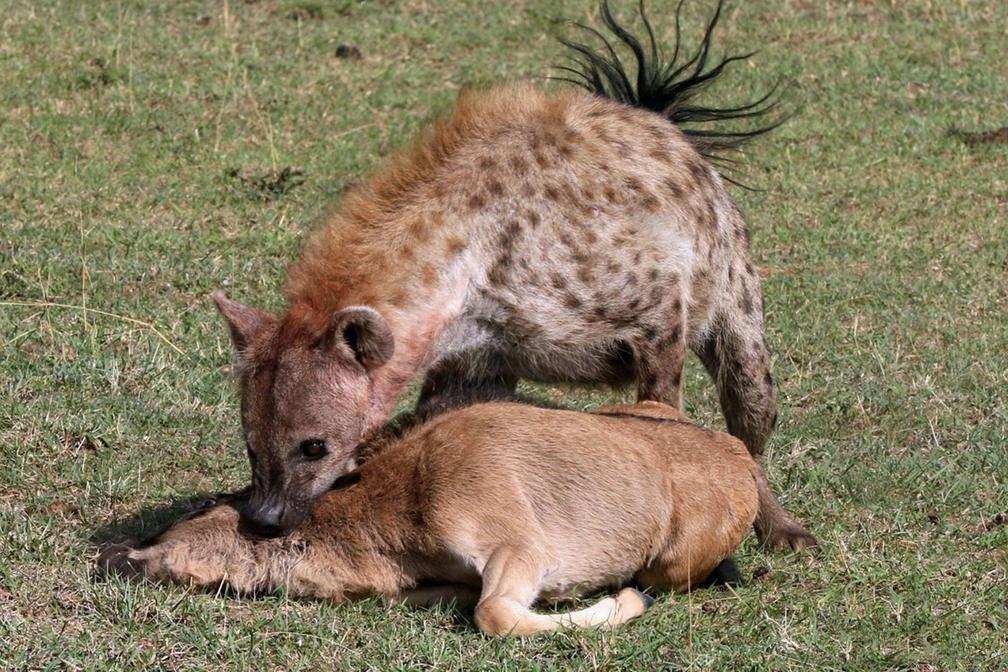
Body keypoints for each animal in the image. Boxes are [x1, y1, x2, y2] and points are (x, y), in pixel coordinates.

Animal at [100, 402, 758, 640]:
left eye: (189, 514)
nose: (117, 558)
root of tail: (740, 457)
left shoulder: (520, 546)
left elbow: (494, 616)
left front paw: (621, 602)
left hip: (673, 563)